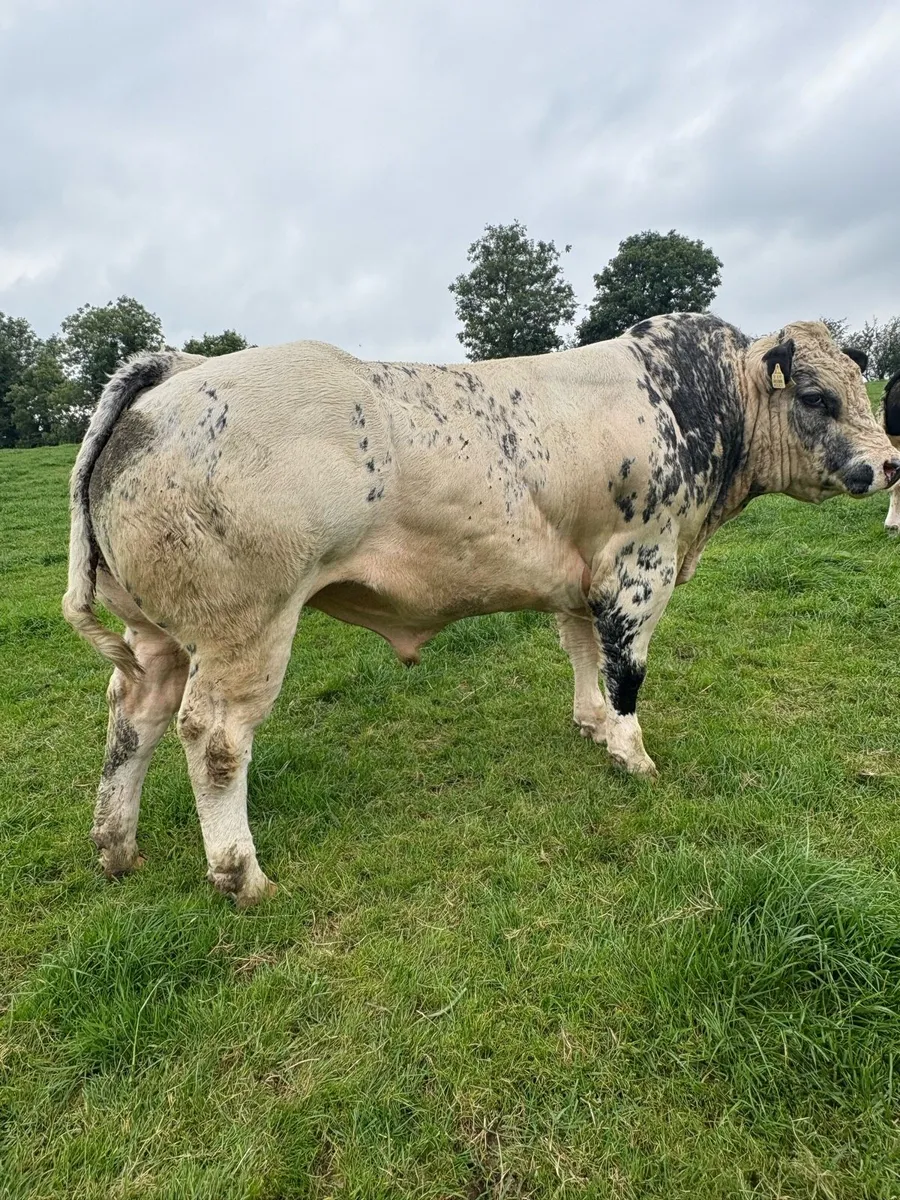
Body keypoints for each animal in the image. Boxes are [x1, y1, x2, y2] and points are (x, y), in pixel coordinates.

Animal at [63, 313, 900, 906]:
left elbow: (582, 652)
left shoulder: (582, 571)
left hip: (155, 636)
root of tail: (178, 369)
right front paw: (632, 755)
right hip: (246, 625)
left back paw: (116, 847)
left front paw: (592, 726)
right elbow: (626, 669)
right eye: (817, 397)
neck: (691, 404)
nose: (890, 462)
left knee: (132, 719)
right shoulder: (640, 565)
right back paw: (241, 875)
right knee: (214, 739)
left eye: (859, 386)